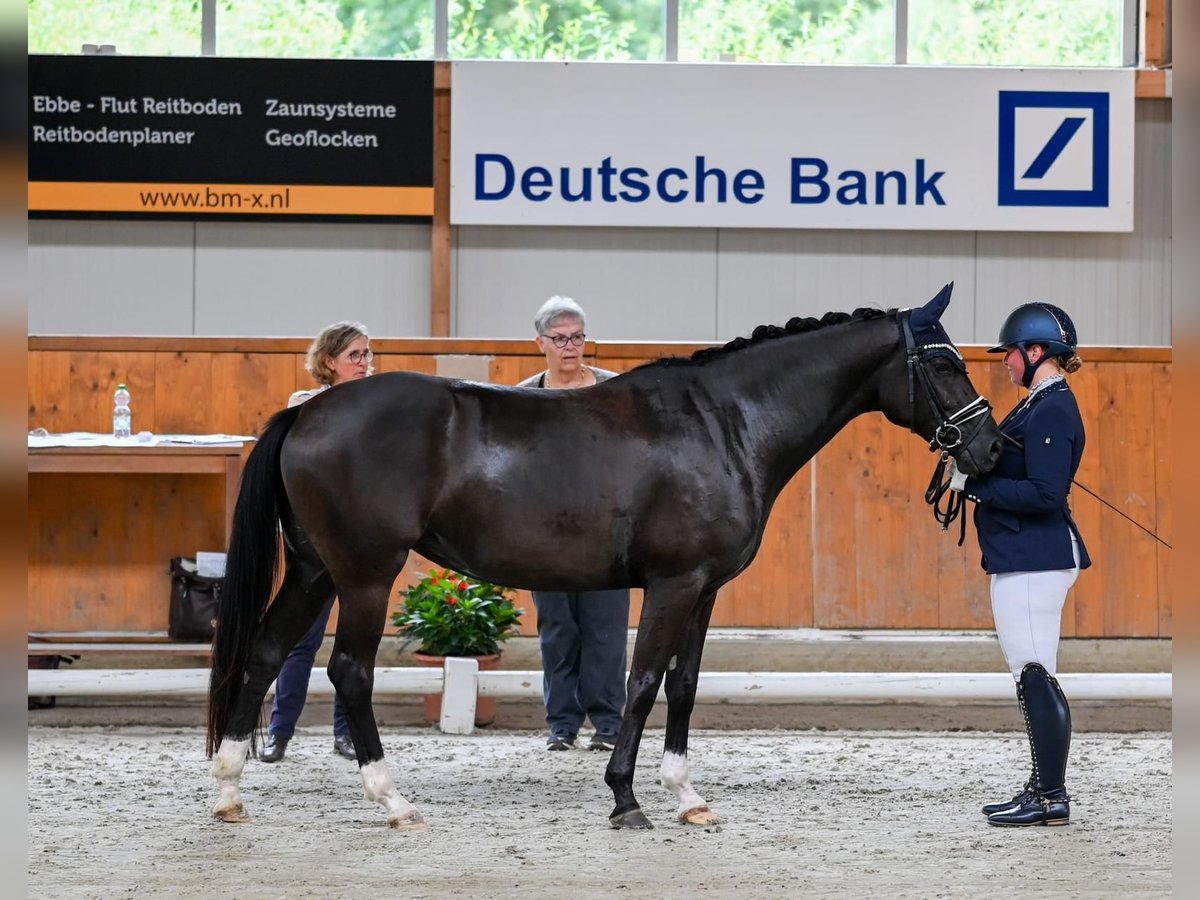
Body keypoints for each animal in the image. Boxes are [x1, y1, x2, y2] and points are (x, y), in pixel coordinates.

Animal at [206, 282, 1003, 830]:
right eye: (943, 365)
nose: (992, 448)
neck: (725, 424)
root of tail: (308, 411)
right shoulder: (673, 584)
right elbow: (643, 679)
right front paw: (627, 798)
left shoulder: (704, 591)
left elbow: (684, 683)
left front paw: (687, 796)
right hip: (365, 574)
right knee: (349, 669)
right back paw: (393, 800)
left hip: (315, 570)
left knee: (267, 650)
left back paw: (230, 788)